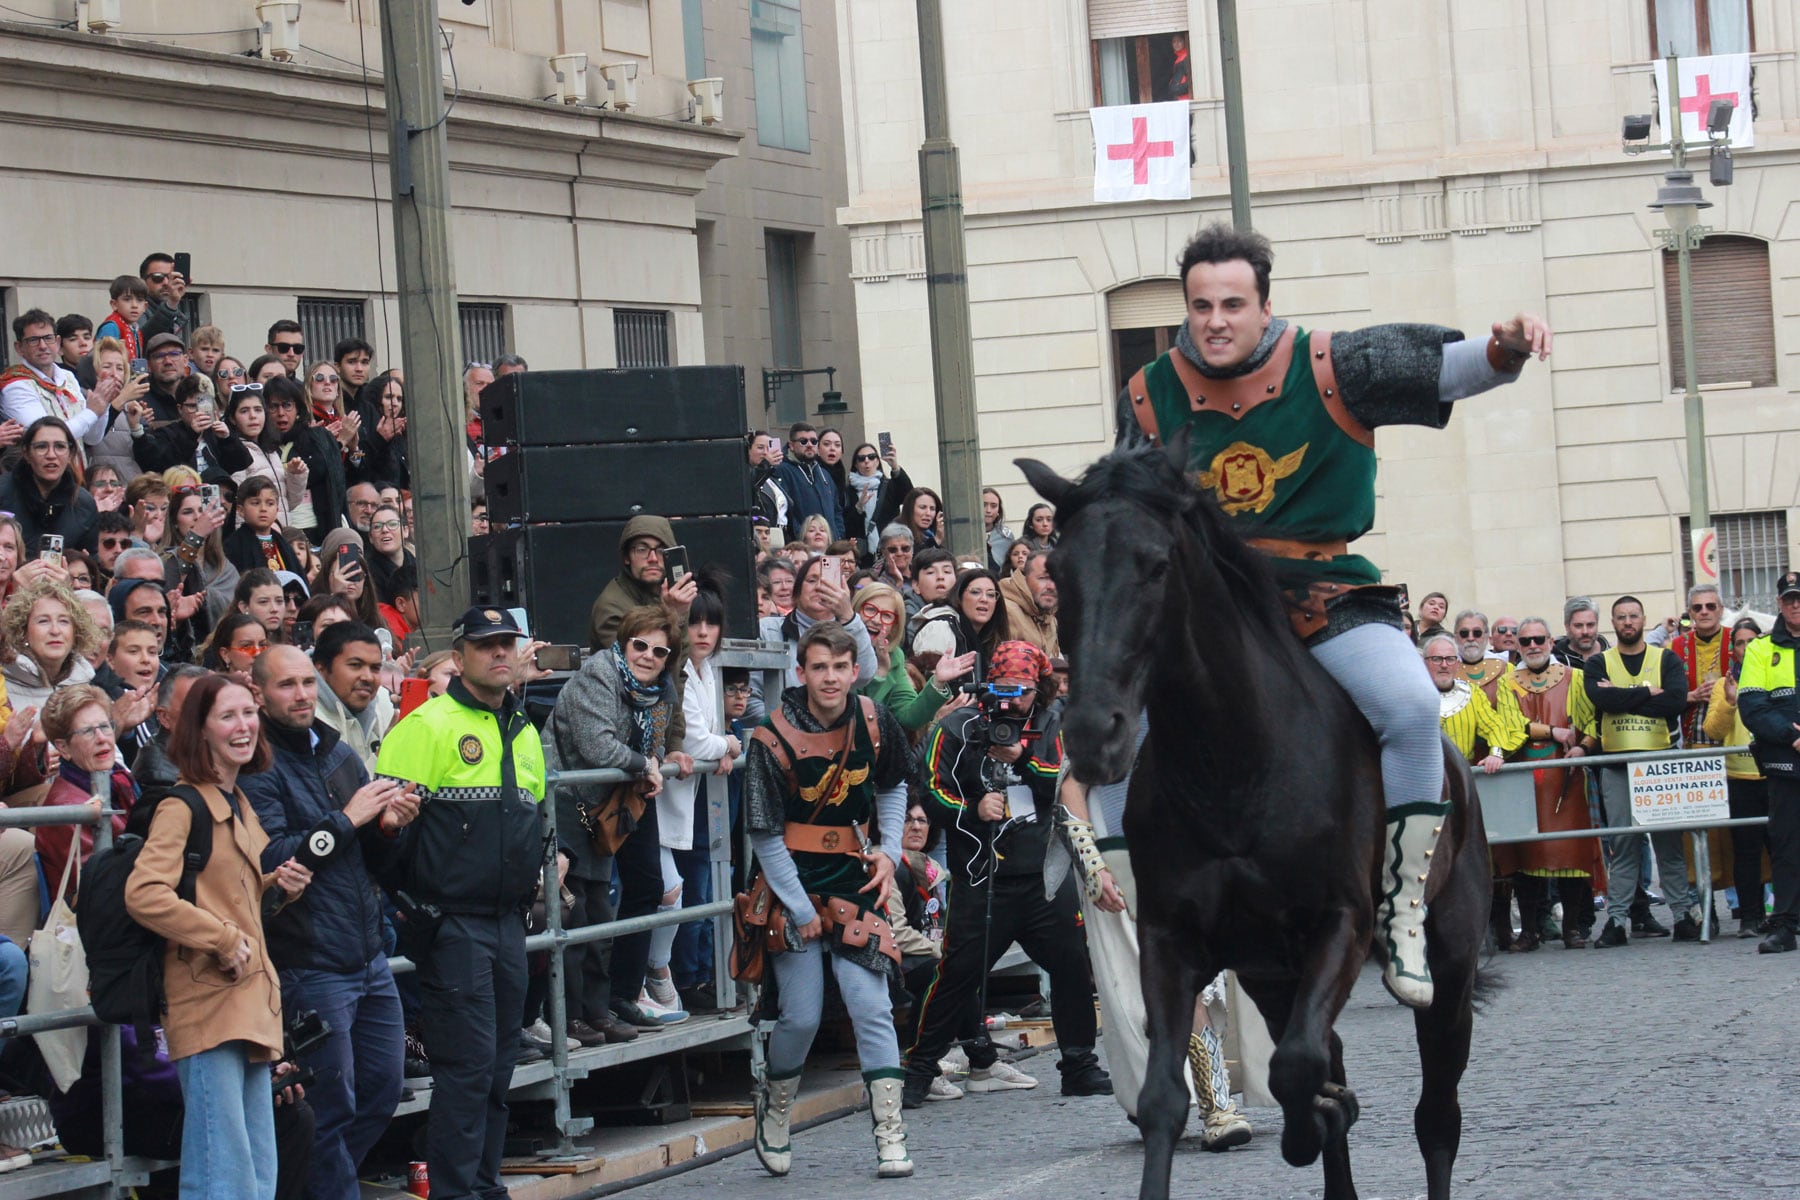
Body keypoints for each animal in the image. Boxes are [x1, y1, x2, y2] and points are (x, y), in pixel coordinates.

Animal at [1022, 438, 1497, 1200]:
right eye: (1059, 573)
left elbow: (1297, 1067)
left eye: (1156, 565)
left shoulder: (1340, 924)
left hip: (1446, 973)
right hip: (1274, 975)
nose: (1094, 732)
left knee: (1435, 1115)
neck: (1233, 764)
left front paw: (1317, 1119)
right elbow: (1168, 1098)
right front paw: (1320, 1116)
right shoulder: (1173, 941)